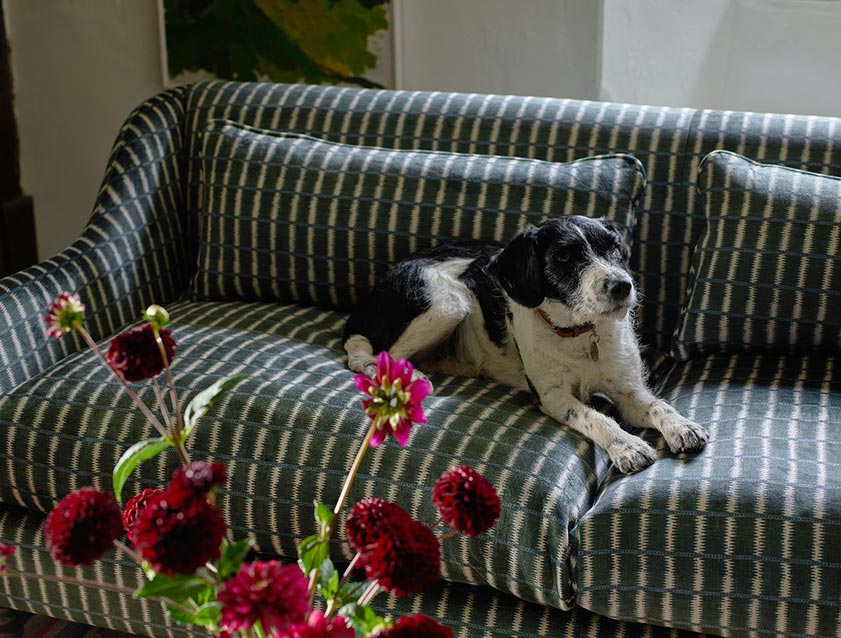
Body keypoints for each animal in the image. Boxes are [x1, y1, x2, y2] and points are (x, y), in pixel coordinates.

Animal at [344, 218, 704, 472]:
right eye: (563, 257)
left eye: (614, 248)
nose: (622, 285)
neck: (579, 333)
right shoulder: (552, 396)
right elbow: (596, 417)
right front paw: (627, 447)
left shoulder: (629, 391)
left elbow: (659, 406)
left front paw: (682, 427)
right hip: (448, 302)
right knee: (371, 355)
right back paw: (409, 377)